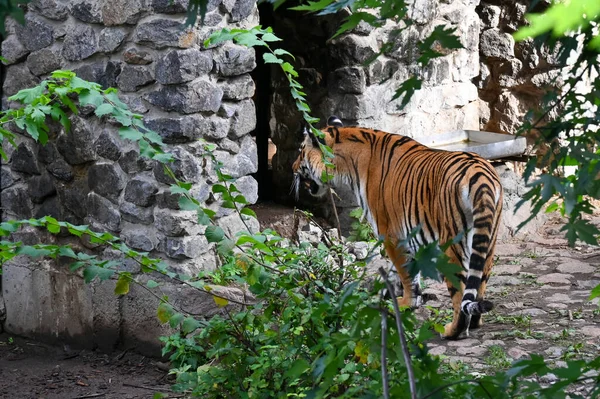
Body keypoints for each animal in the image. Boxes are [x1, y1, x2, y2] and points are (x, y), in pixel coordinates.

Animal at [290, 116, 502, 340]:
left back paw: (451, 330)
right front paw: (395, 294)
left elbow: (405, 271)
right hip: (487, 241)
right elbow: (403, 271)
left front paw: (405, 302)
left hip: (451, 245)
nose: (292, 168)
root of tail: (480, 174)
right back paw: (476, 322)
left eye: (301, 151)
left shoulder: (390, 233)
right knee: (478, 283)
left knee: (460, 295)